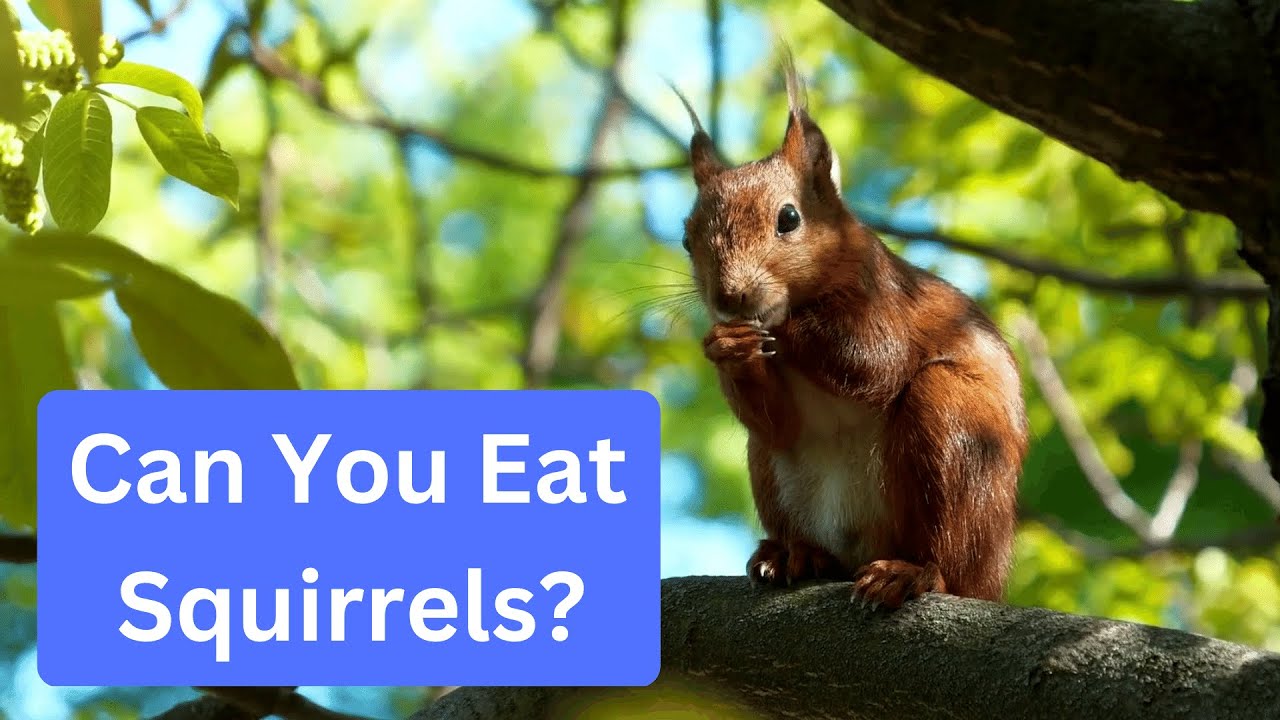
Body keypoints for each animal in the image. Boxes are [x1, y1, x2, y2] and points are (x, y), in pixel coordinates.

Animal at [672, 58, 1028, 609]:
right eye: (686, 238)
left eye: (789, 218)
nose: (730, 298)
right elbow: (778, 423)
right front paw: (727, 347)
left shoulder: (885, 298)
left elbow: (874, 360)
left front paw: (778, 325)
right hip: (768, 469)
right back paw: (793, 555)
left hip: (958, 434)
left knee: (951, 564)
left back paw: (912, 573)